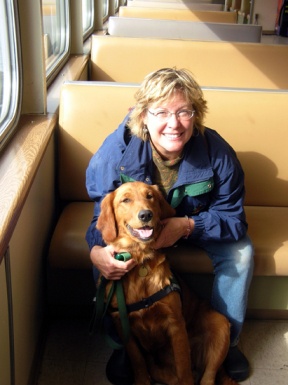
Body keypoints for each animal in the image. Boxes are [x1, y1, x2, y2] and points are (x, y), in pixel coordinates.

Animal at [96, 181, 238, 384]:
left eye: (150, 196)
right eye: (126, 200)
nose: (146, 215)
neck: (141, 260)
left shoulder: (175, 324)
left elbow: (183, 367)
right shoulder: (122, 326)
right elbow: (138, 361)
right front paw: (141, 381)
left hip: (220, 325)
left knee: (207, 377)